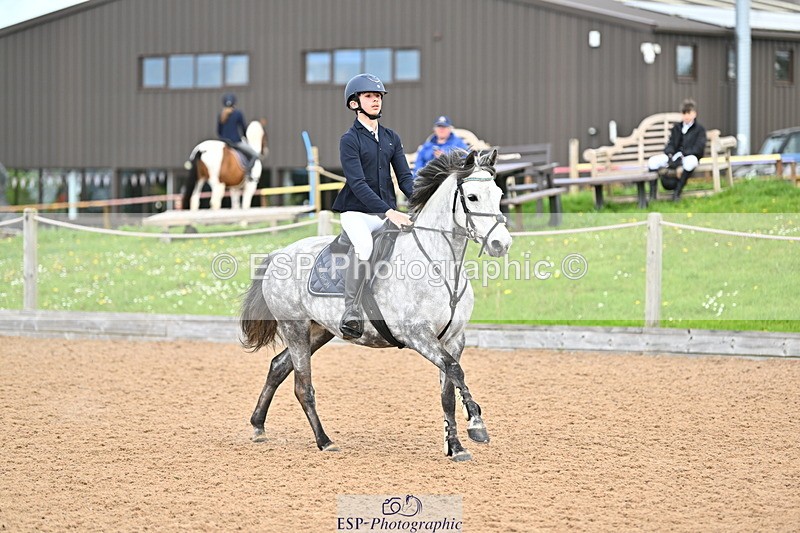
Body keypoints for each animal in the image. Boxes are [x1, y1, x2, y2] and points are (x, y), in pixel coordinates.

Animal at [239, 149, 513, 462]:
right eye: (472, 197)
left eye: (498, 194)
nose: (501, 244)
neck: (440, 264)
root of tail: (279, 253)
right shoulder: (418, 335)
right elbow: (456, 371)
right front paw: (477, 425)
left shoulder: (454, 339)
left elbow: (447, 392)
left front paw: (455, 446)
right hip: (293, 327)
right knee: (302, 386)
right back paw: (324, 440)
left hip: (319, 331)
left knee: (278, 366)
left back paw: (258, 426)